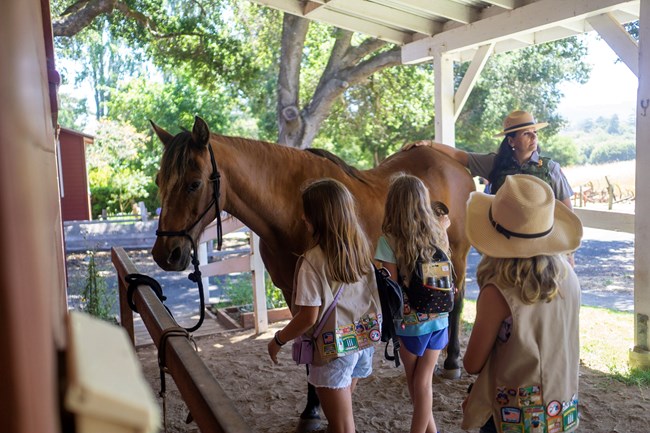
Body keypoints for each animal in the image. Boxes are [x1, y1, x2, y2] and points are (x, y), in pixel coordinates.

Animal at [150, 115, 474, 432]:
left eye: (194, 184)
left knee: (455, 304)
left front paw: (317, 407)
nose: (165, 254)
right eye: (159, 181)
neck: (293, 206)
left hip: (456, 257)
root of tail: (453, 163)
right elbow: (306, 342)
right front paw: (312, 409)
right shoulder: (294, 292)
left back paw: (452, 362)